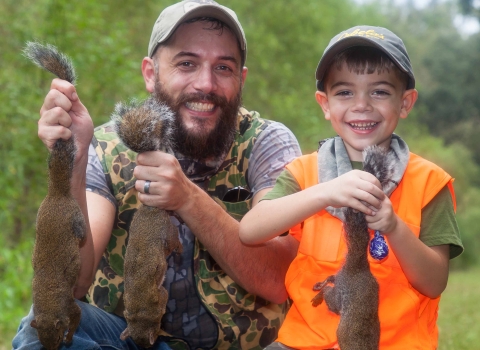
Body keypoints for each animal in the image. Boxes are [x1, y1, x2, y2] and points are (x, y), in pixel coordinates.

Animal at [112, 98, 184, 348]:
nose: (150, 344)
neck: (140, 313)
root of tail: (150, 208)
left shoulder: (159, 297)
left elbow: (163, 297)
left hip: (168, 232)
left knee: (176, 242)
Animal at [312, 146, 394, 350]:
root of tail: (359, 266)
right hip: (339, 294)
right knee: (329, 292)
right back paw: (318, 296)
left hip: (342, 282)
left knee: (332, 278)